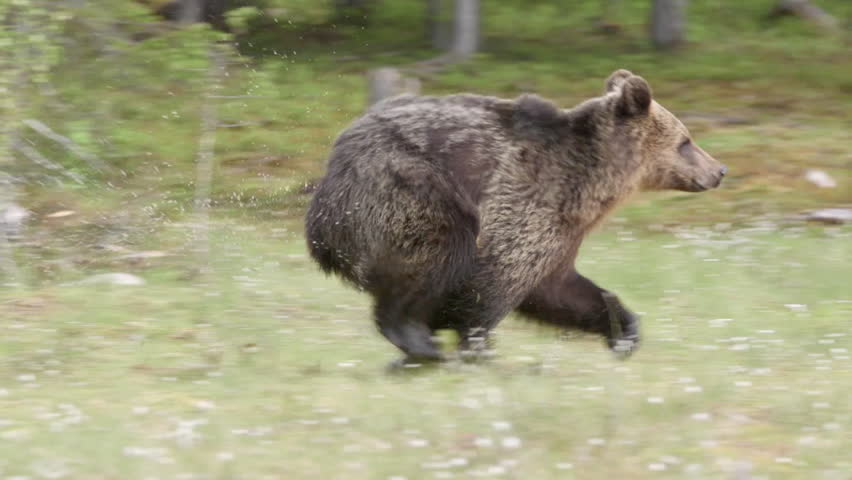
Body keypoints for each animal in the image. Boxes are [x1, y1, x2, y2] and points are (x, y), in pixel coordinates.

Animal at [305, 69, 726, 364]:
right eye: (686, 142)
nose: (719, 170)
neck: (590, 187)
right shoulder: (523, 201)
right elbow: (490, 286)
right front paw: (476, 347)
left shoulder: (559, 235)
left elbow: (561, 291)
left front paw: (624, 330)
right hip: (408, 188)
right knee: (439, 251)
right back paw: (417, 339)